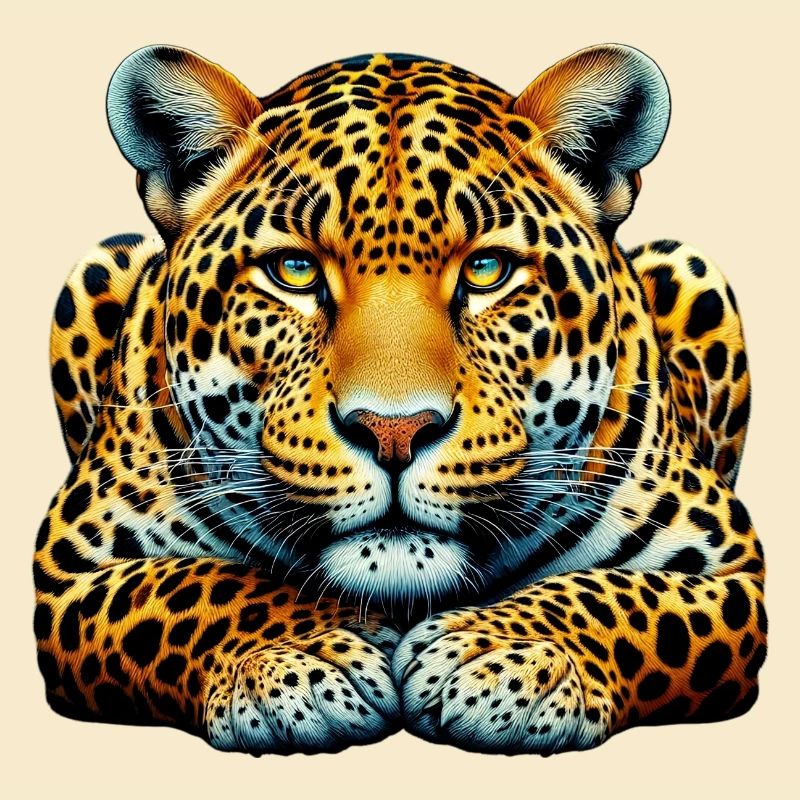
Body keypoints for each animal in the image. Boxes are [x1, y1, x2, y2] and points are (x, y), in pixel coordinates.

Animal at [34, 43, 766, 755]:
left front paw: (504, 656)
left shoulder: (734, 571)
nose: (394, 432)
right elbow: (197, 585)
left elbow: (616, 597)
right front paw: (307, 658)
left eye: (487, 269)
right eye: (294, 270)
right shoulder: (68, 571)